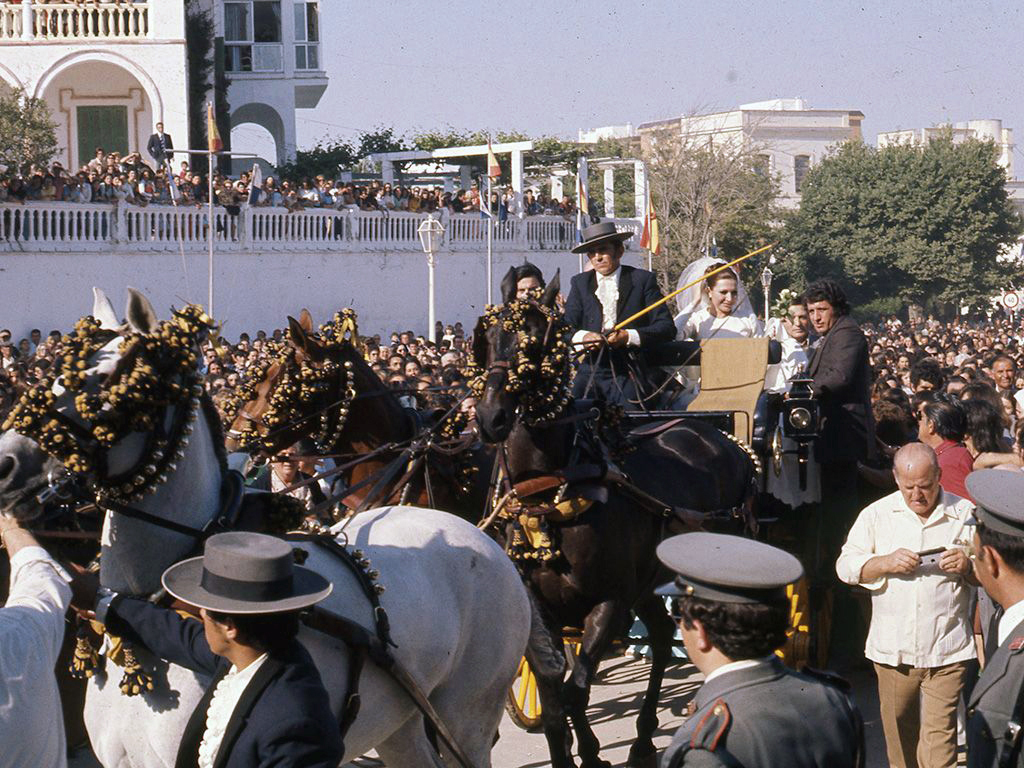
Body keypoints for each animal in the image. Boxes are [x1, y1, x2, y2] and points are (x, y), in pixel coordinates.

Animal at [475, 272, 757, 768]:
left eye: (535, 342)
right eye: (487, 340)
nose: (491, 417)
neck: (551, 488)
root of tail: (720, 437)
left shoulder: (608, 601)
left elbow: (576, 691)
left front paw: (590, 754)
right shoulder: (542, 608)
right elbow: (555, 700)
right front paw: (575, 749)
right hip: (649, 581)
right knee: (662, 636)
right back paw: (643, 738)